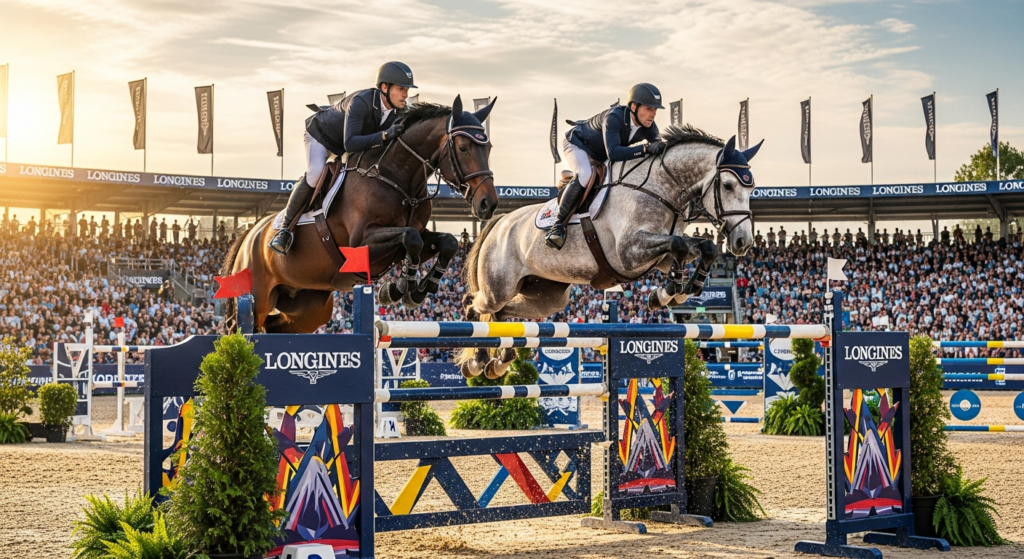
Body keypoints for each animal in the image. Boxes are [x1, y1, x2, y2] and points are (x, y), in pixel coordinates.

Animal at [222, 95, 499, 333]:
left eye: (489, 147)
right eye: (462, 147)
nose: (489, 204)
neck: (396, 177)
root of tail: (249, 234)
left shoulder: (414, 237)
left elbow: (446, 242)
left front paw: (419, 288)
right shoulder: (360, 243)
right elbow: (411, 238)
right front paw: (400, 287)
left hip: (308, 306)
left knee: (275, 327)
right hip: (257, 296)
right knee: (245, 326)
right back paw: (280, 240)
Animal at [457, 126, 761, 378]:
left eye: (752, 188)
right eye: (728, 185)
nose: (743, 242)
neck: (659, 188)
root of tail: (498, 222)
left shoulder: (659, 257)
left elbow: (700, 247)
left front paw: (678, 290)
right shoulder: (629, 253)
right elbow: (679, 244)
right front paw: (671, 290)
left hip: (546, 296)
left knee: (501, 313)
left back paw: (500, 362)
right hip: (499, 285)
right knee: (474, 305)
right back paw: (477, 362)